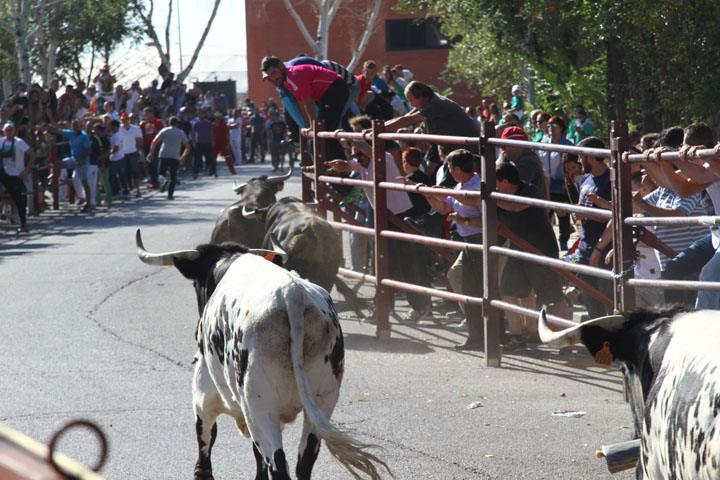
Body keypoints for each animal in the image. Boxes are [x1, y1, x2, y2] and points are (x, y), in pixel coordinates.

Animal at [137, 231, 390, 478]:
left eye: (195, 285)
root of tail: (292, 293)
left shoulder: (204, 392)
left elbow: (206, 438)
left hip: (260, 409)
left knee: (278, 464)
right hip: (322, 401)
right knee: (302, 461)